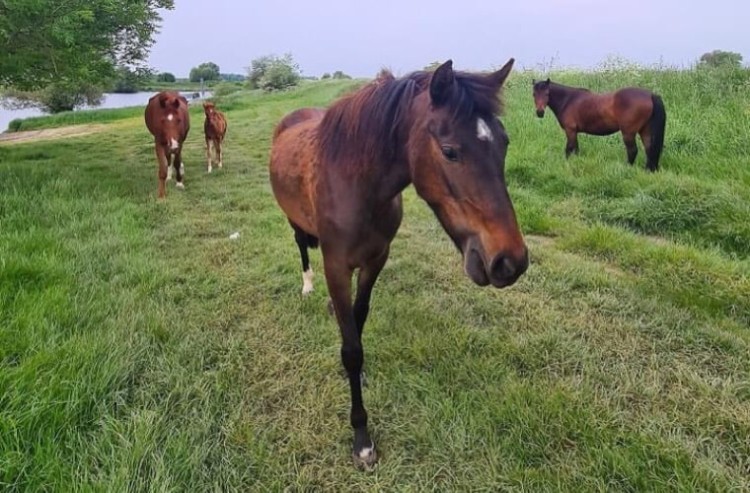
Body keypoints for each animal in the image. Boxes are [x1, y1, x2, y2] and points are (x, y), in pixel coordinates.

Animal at [269, 59, 528, 468]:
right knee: (300, 245)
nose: (510, 261)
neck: (356, 186)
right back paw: (308, 285)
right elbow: (351, 349)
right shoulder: (336, 266)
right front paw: (361, 437)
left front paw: (355, 374)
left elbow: (356, 325)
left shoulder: (375, 260)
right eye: (450, 151)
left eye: (504, 143)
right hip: (296, 223)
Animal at [532, 79, 666, 171]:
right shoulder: (574, 132)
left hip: (628, 132)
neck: (568, 100)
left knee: (633, 151)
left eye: (547, 93)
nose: (540, 112)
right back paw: (648, 170)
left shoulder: (570, 131)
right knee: (649, 149)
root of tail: (650, 95)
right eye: (534, 94)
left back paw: (627, 168)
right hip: (645, 130)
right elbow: (576, 149)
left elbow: (569, 149)